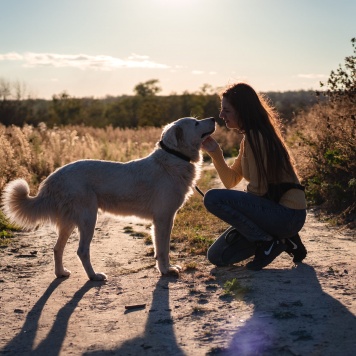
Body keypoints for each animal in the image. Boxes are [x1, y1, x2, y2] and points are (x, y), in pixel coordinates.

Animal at [1, 118, 216, 280]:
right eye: (196, 123)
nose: (214, 118)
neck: (174, 158)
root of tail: (53, 177)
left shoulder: (162, 220)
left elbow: (162, 248)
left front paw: (166, 268)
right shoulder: (163, 219)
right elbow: (163, 249)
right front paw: (166, 271)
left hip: (69, 222)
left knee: (57, 248)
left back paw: (61, 273)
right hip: (88, 218)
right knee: (81, 251)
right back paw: (94, 276)